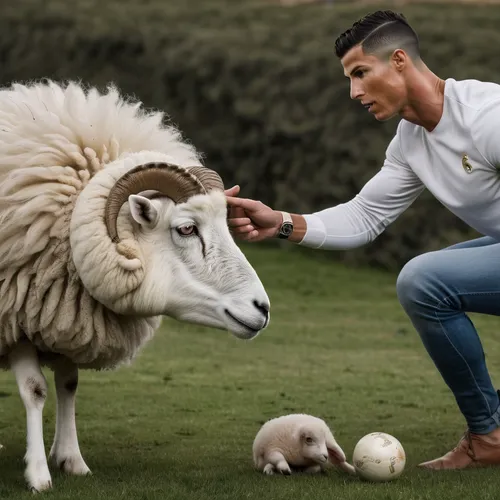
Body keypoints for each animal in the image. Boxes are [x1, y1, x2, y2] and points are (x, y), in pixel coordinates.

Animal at [0, 81, 270, 492]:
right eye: (186, 228)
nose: (263, 308)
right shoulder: (18, 316)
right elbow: (35, 390)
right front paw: (39, 474)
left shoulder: (66, 318)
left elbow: (68, 384)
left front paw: (71, 459)